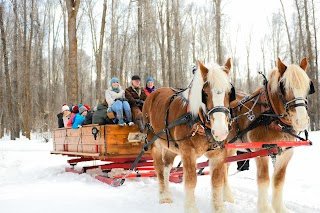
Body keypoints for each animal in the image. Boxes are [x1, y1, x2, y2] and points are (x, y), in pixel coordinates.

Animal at [142, 58, 235, 213]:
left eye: (229, 92)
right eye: (205, 93)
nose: (220, 131)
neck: (197, 120)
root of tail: (154, 94)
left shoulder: (218, 153)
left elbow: (217, 182)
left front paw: (219, 208)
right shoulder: (187, 152)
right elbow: (191, 181)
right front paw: (191, 208)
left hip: (171, 146)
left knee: (167, 168)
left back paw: (167, 191)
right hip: (154, 141)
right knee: (159, 168)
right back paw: (164, 196)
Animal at [225, 57, 316, 212]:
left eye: (307, 86)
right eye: (284, 87)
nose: (302, 121)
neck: (271, 117)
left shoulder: (286, 152)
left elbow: (278, 180)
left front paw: (279, 208)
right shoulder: (261, 151)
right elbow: (264, 180)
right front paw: (265, 208)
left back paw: (227, 197)